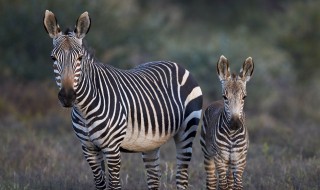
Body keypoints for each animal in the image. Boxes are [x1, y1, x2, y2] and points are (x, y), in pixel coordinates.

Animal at [43, 10, 202, 190]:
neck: (84, 109)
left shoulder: (112, 149)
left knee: (182, 175)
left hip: (187, 131)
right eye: (53, 58)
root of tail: (177, 65)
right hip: (150, 143)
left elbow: (114, 185)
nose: (68, 96)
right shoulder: (89, 148)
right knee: (154, 178)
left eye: (80, 58)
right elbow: (100, 184)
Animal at [200, 55, 255, 189]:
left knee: (229, 181)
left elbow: (237, 185)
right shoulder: (220, 158)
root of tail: (216, 102)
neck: (232, 134)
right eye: (225, 96)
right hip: (208, 154)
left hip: (231, 162)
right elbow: (222, 185)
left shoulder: (240, 160)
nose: (235, 124)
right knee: (212, 180)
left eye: (244, 97)